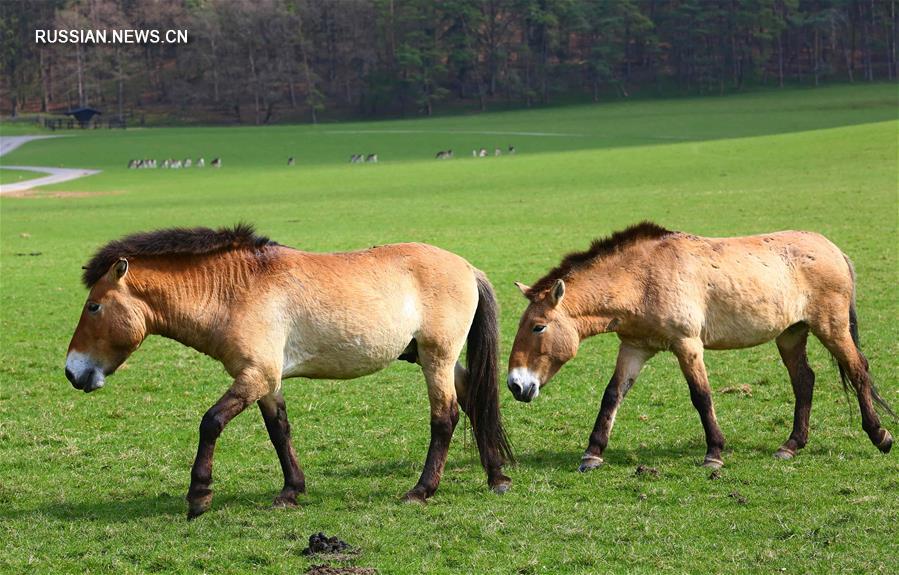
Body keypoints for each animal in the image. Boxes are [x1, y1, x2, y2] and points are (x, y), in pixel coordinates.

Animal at [65, 224, 512, 516]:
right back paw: (496, 476)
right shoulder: (267, 380)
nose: (72, 371)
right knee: (474, 400)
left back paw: (422, 489)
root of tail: (467, 268)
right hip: (435, 358)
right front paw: (291, 491)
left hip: (437, 358)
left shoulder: (255, 374)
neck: (236, 290)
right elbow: (279, 431)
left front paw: (199, 495)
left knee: (445, 417)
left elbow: (210, 422)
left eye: (94, 306)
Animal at [510, 223, 896, 470]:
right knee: (804, 380)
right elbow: (612, 395)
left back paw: (880, 436)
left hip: (831, 328)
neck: (643, 278)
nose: (516, 384)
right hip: (791, 334)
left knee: (857, 369)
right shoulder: (634, 348)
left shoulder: (687, 344)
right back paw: (791, 446)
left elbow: (701, 396)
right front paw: (592, 453)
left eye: (538, 326)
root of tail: (833, 249)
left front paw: (714, 453)